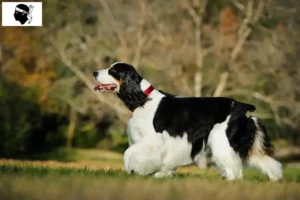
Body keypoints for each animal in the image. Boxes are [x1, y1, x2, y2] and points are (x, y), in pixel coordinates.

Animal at [92, 62, 282, 181]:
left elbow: (128, 153)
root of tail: (242, 106)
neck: (143, 99)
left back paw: (231, 181)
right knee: (264, 160)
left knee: (234, 168)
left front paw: (136, 171)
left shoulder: (152, 141)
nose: (94, 72)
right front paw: (161, 175)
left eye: (113, 71)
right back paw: (275, 179)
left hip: (222, 141)